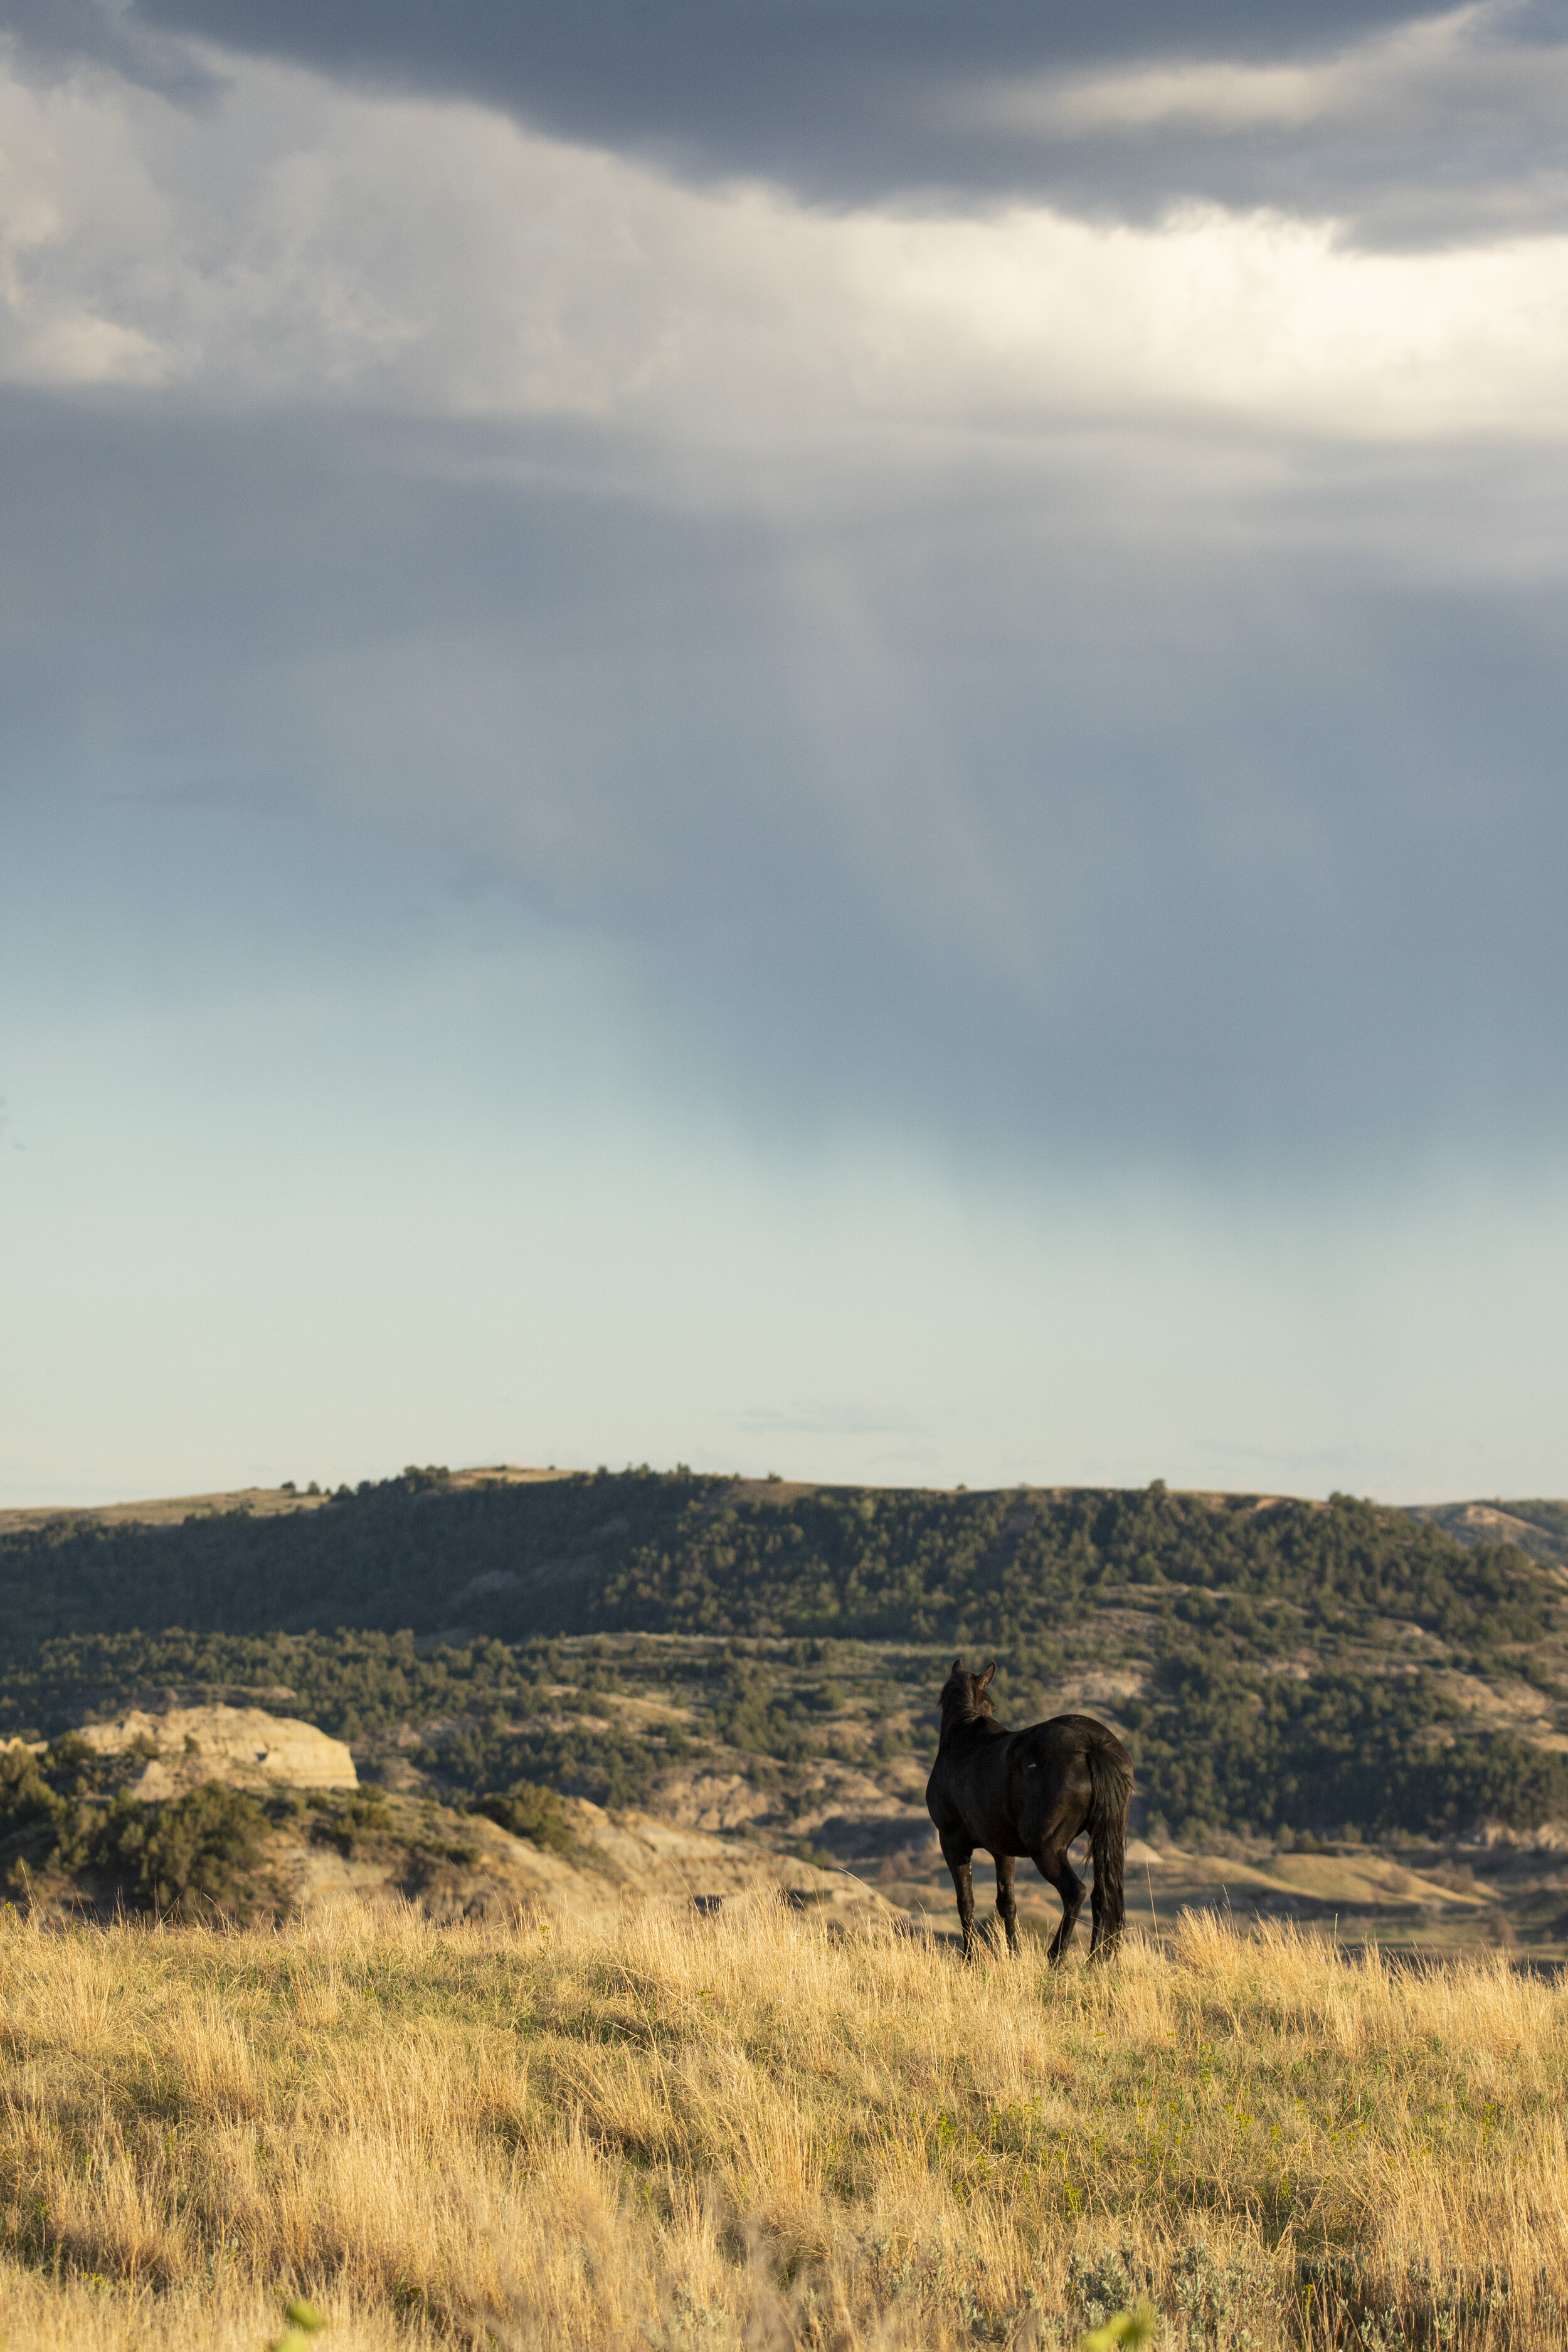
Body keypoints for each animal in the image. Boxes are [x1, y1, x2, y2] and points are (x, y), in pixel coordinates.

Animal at [926, 1656, 1133, 1966]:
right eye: (992, 1705)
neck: (964, 1737)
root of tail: (1091, 1745)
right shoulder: (1002, 1849)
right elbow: (1007, 1903)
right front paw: (1014, 1955)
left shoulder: (953, 1843)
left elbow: (966, 1901)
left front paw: (971, 1959)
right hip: (1103, 1838)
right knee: (1102, 1895)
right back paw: (1095, 1960)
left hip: (1046, 1848)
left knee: (1076, 1892)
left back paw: (1056, 1957)